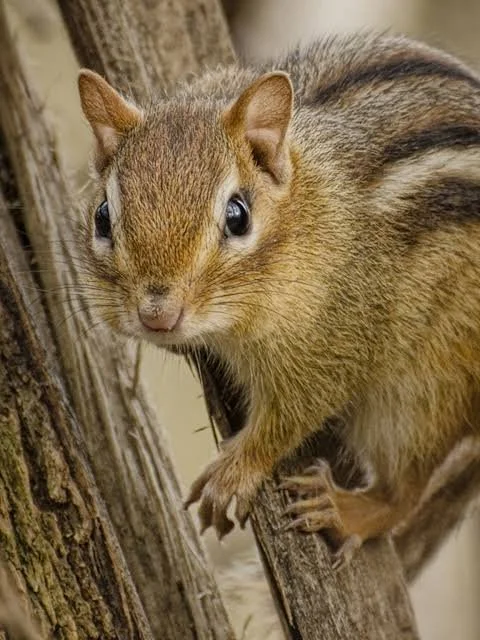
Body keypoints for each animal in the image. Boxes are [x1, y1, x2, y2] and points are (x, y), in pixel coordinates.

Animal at [77, 32, 480, 564]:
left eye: (238, 216)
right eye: (103, 216)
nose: (157, 316)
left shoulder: (339, 338)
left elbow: (291, 416)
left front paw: (233, 475)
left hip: (424, 395)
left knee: (404, 490)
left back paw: (346, 511)